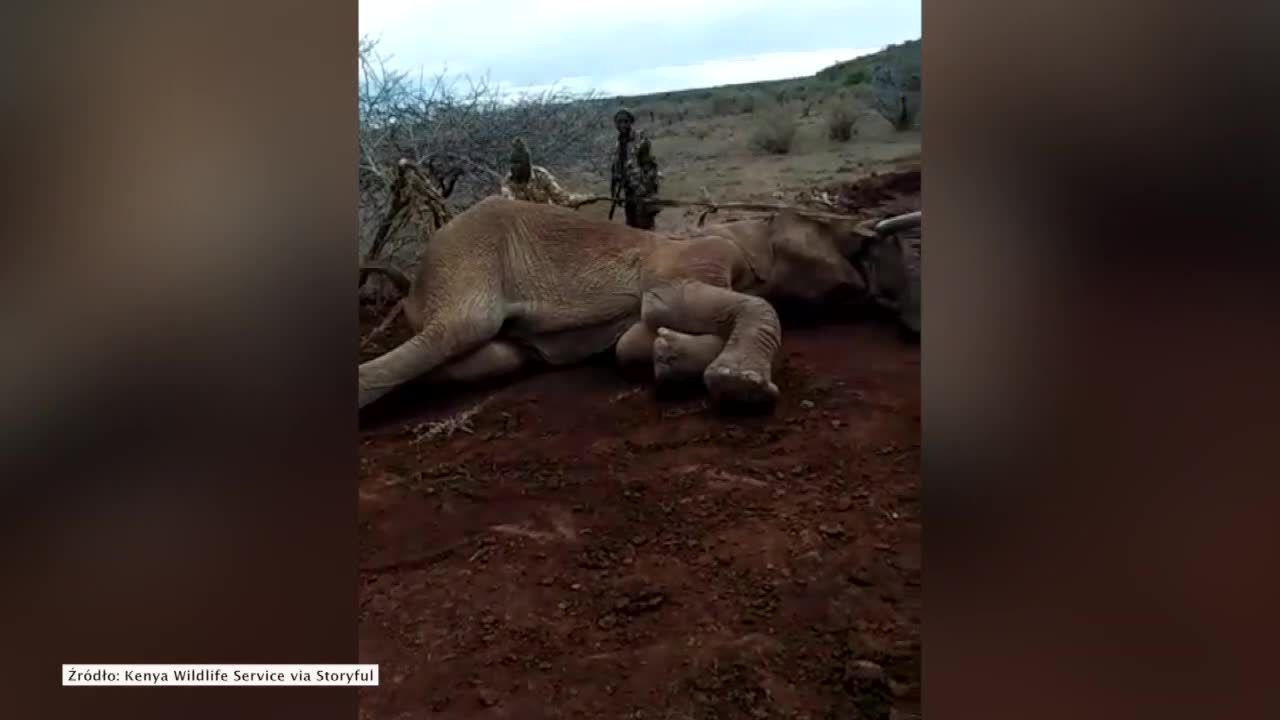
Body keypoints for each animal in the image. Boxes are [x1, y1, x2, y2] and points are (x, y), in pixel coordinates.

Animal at [360, 196, 921, 409]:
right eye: (838, 232)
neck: (751, 229)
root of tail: (412, 280)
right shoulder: (691, 264)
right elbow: (672, 306)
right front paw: (739, 386)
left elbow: (631, 343)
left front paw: (668, 357)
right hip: (467, 258)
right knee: (456, 330)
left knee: (487, 358)